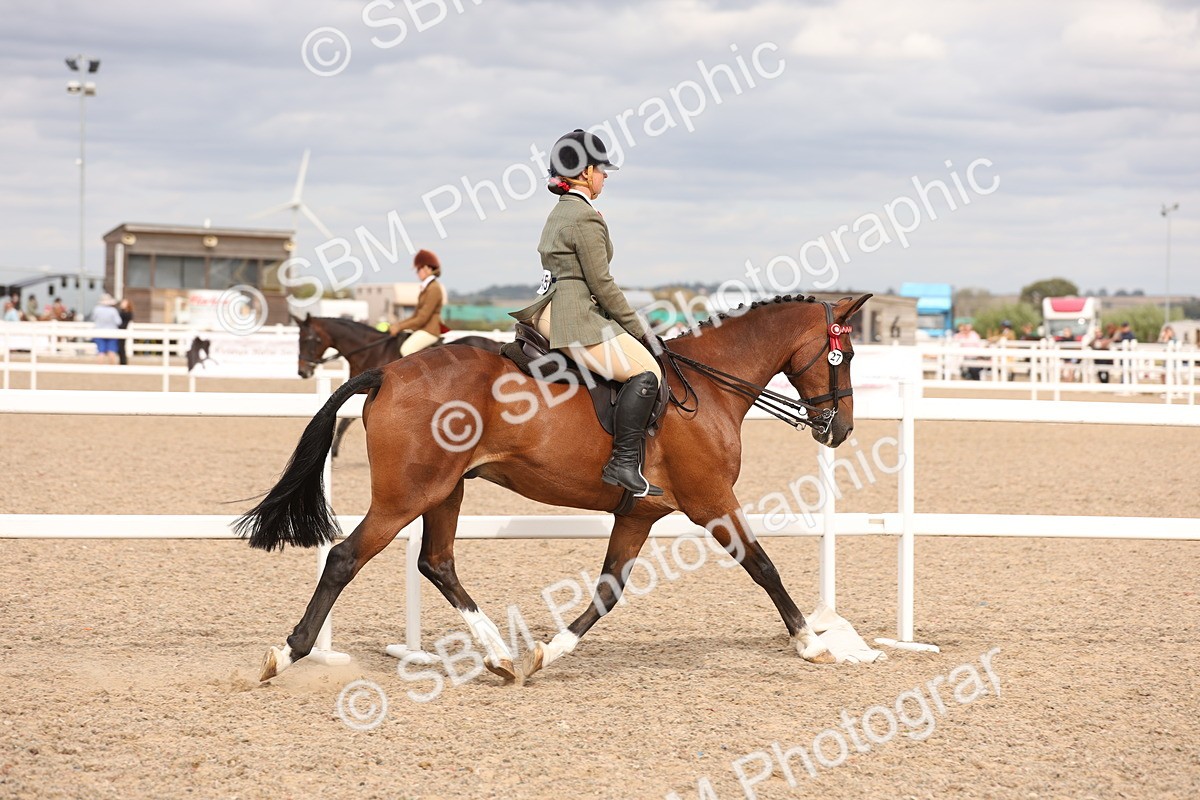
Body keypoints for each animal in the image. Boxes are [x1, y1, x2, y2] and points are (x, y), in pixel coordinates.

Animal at [292, 314, 504, 457]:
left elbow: (346, 420)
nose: (303, 372)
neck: (372, 350)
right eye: (298, 339)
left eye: (309, 340)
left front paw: (334, 450)